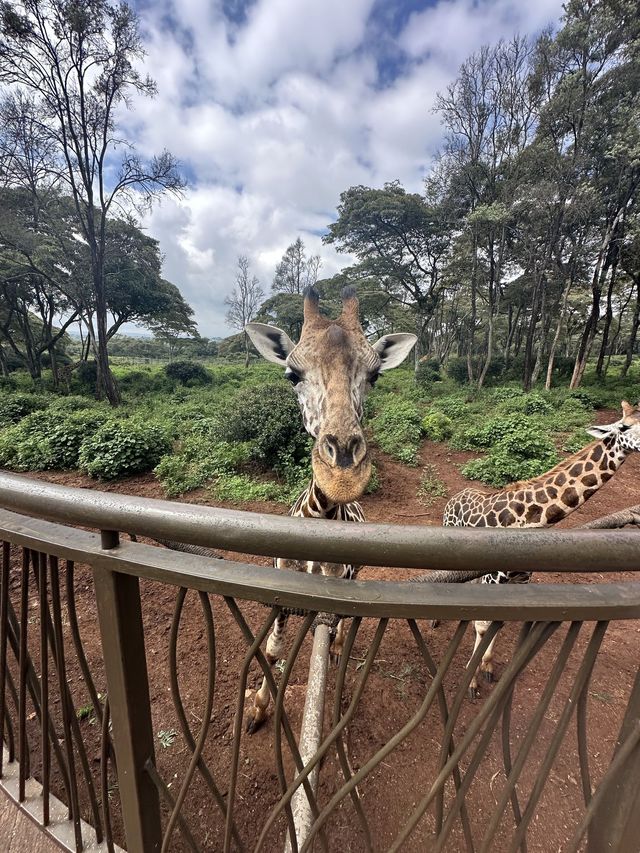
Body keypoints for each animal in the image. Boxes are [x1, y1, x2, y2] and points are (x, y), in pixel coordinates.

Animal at [244, 288, 416, 732]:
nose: (342, 474)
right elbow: (273, 649)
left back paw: (337, 650)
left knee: (340, 630)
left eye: (375, 376)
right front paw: (258, 708)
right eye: (291, 375)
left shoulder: (335, 592)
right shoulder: (281, 587)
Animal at [442, 402, 640, 700]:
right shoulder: (493, 578)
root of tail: (455, 496)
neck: (531, 521)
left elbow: (496, 621)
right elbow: (482, 625)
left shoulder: (520, 581)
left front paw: (487, 668)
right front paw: (472, 683)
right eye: (625, 426)